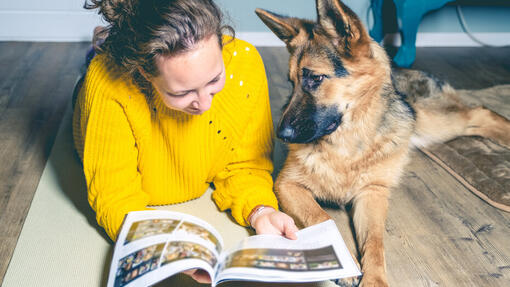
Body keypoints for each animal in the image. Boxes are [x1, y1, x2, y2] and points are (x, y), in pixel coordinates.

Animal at [256, 0, 508, 287]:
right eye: (292, 82)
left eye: (316, 78)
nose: (281, 134)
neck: (347, 144)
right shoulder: (287, 185)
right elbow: (323, 217)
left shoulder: (372, 192)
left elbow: (375, 241)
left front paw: (374, 278)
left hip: (431, 122)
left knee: (480, 112)